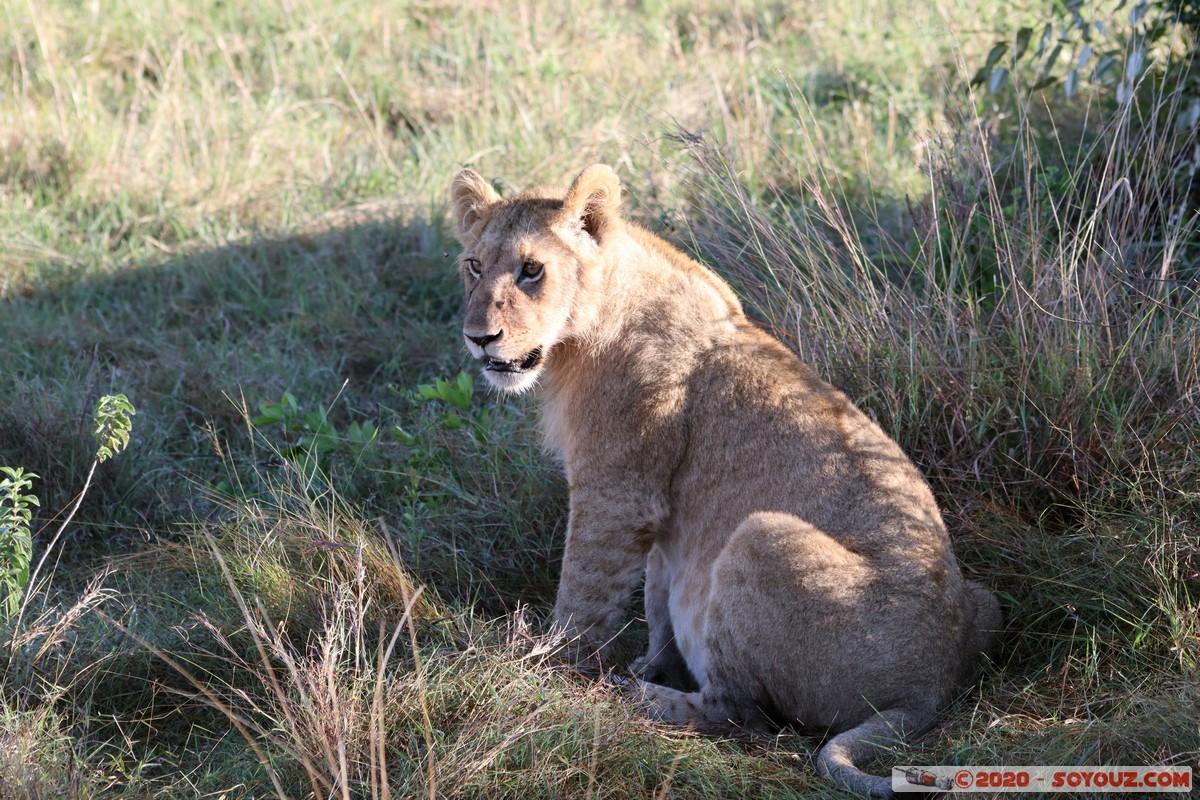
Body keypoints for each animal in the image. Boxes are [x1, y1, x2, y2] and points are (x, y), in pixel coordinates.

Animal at [446, 163, 998, 796]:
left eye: (532, 269)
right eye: (474, 266)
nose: (478, 337)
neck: (582, 333)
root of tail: (929, 689)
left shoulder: (615, 491)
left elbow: (583, 594)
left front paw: (547, 667)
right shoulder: (659, 516)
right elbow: (658, 593)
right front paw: (645, 659)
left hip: (762, 537)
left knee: (739, 715)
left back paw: (634, 697)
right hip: (983, 601)